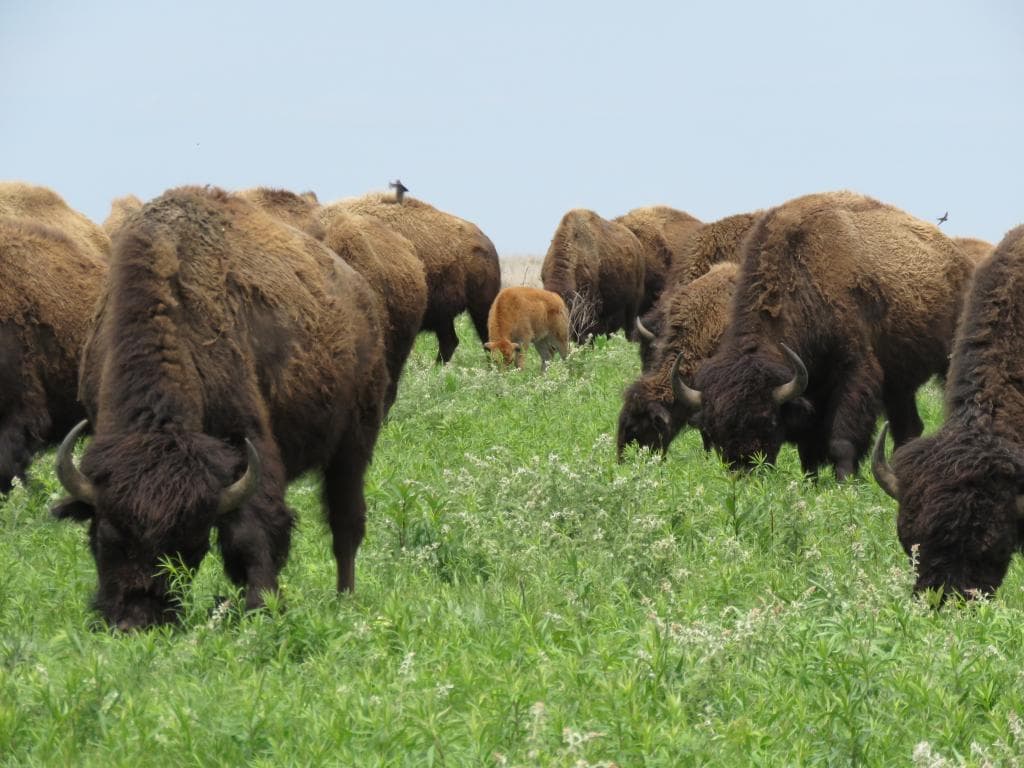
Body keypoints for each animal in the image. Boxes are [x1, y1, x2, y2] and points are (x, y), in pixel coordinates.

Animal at [52, 186, 390, 630]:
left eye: (189, 545)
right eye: (106, 535)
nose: (136, 622)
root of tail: (361, 295)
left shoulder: (249, 443)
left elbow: (251, 530)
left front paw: (262, 607)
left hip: (353, 443)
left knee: (345, 523)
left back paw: (345, 600)